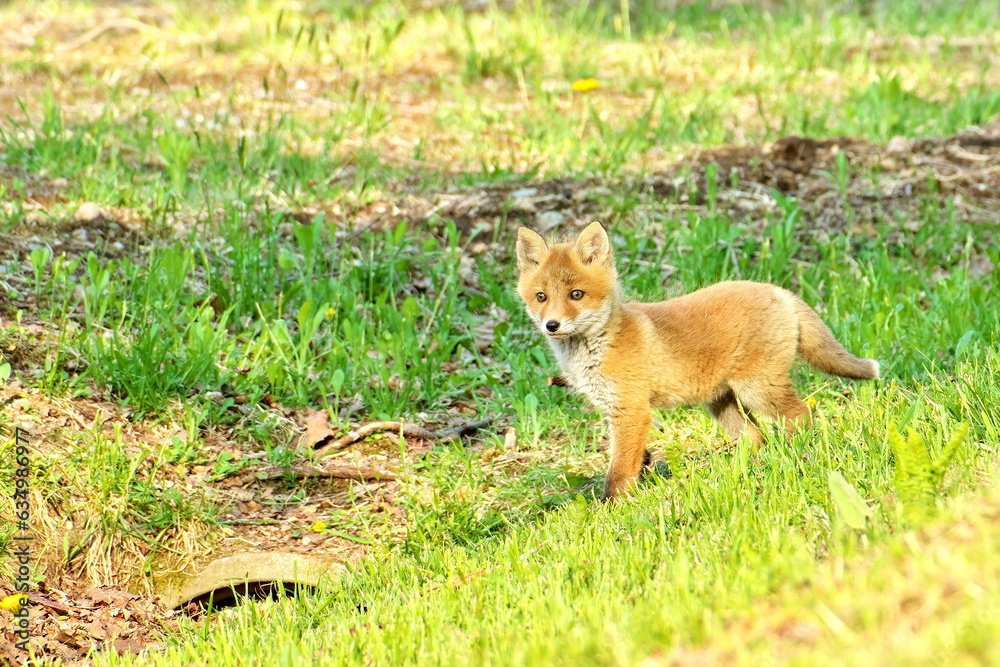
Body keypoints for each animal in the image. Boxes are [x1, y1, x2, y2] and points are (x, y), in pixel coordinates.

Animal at [520, 223, 880, 500]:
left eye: (576, 295)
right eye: (541, 297)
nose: (552, 325)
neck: (599, 344)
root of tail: (777, 289)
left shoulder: (632, 410)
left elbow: (618, 472)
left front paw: (612, 509)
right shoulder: (613, 410)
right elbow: (632, 460)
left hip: (758, 389)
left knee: (801, 416)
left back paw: (795, 452)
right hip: (721, 402)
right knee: (755, 437)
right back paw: (741, 471)